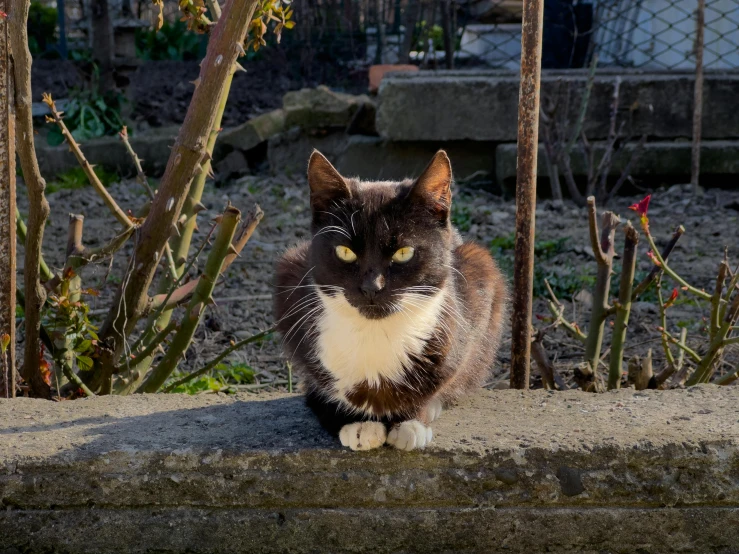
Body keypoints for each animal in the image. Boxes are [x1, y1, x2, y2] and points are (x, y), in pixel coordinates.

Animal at [274, 150, 508, 448]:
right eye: (345, 251)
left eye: (403, 252)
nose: (371, 287)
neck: (374, 332)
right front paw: (357, 424)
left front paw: (411, 423)